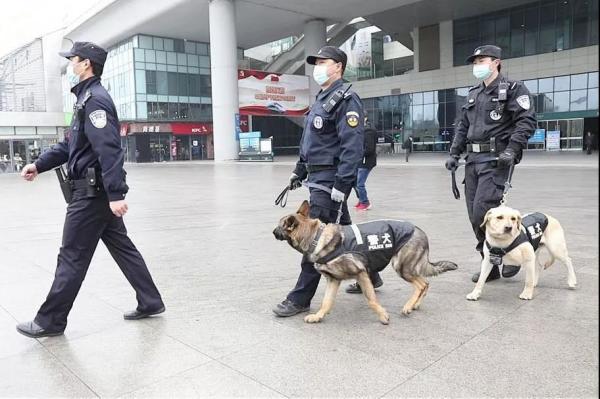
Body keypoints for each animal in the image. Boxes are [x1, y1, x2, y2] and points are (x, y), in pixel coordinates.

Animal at [274, 202, 458, 326]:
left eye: (279, 226)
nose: (272, 231)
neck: (316, 238)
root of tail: (420, 231)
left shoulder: (361, 274)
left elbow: (371, 299)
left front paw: (383, 316)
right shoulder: (333, 280)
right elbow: (326, 302)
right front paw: (318, 316)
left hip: (401, 267)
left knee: (421, 285)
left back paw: (408, 306)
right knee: (425, 283)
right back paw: (415, 305)